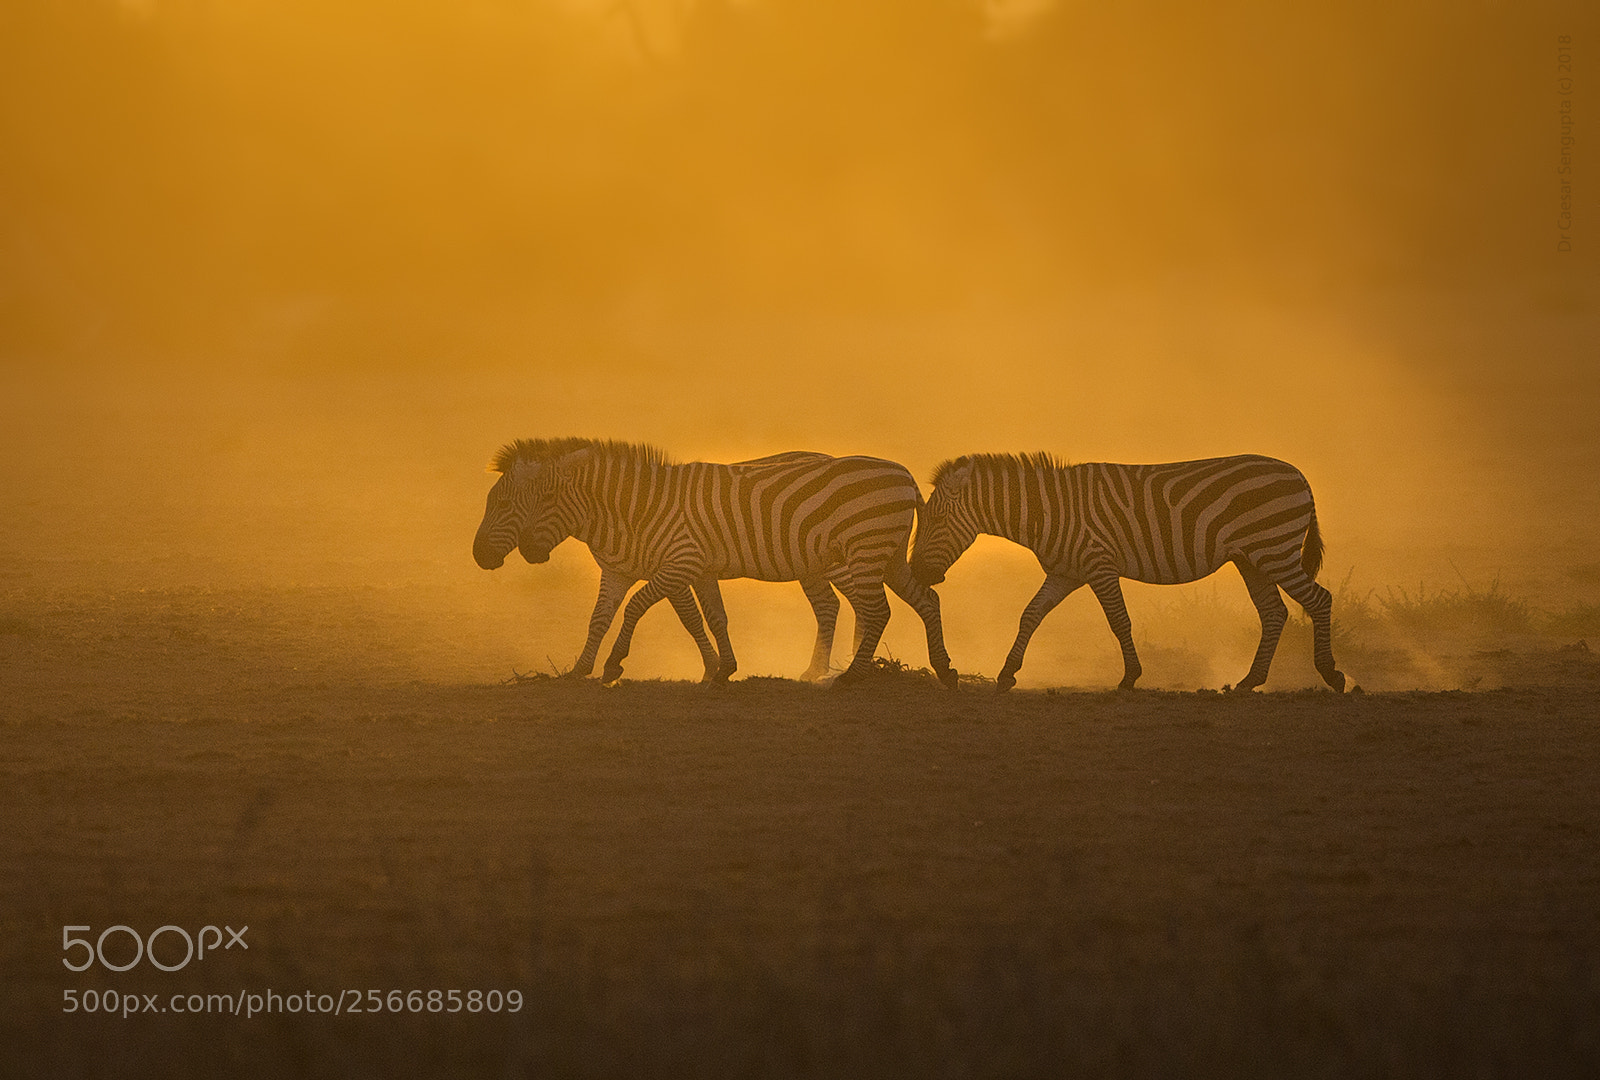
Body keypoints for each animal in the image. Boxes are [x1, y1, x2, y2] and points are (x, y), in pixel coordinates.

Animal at [473, 438, 958, 687]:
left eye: (505, 505)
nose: (480, 556)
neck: (635, 509)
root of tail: (907, 477)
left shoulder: (678, 565)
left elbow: (641, 609)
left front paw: (613, 666)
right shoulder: (648, 570)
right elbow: (693, 616)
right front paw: (579, 669)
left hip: (862, 552)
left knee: (875, 610)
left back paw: (850, 676)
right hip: (885, 556)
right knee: (924, 600)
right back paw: (942, 670)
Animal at [910, 453, 1345, 693]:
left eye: (935, 520)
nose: (916, 572)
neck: (1048, 511)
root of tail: (1298, 474)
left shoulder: (1099, 565)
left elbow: (1119, 621)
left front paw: (1130, 678)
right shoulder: (1066, 572)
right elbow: (1030, 615)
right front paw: (1006, 675)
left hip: (1275, 551)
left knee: (1319, 600)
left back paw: (1331, 674)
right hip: (1253, 559)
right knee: (1274, 612)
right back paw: (1249, 681)